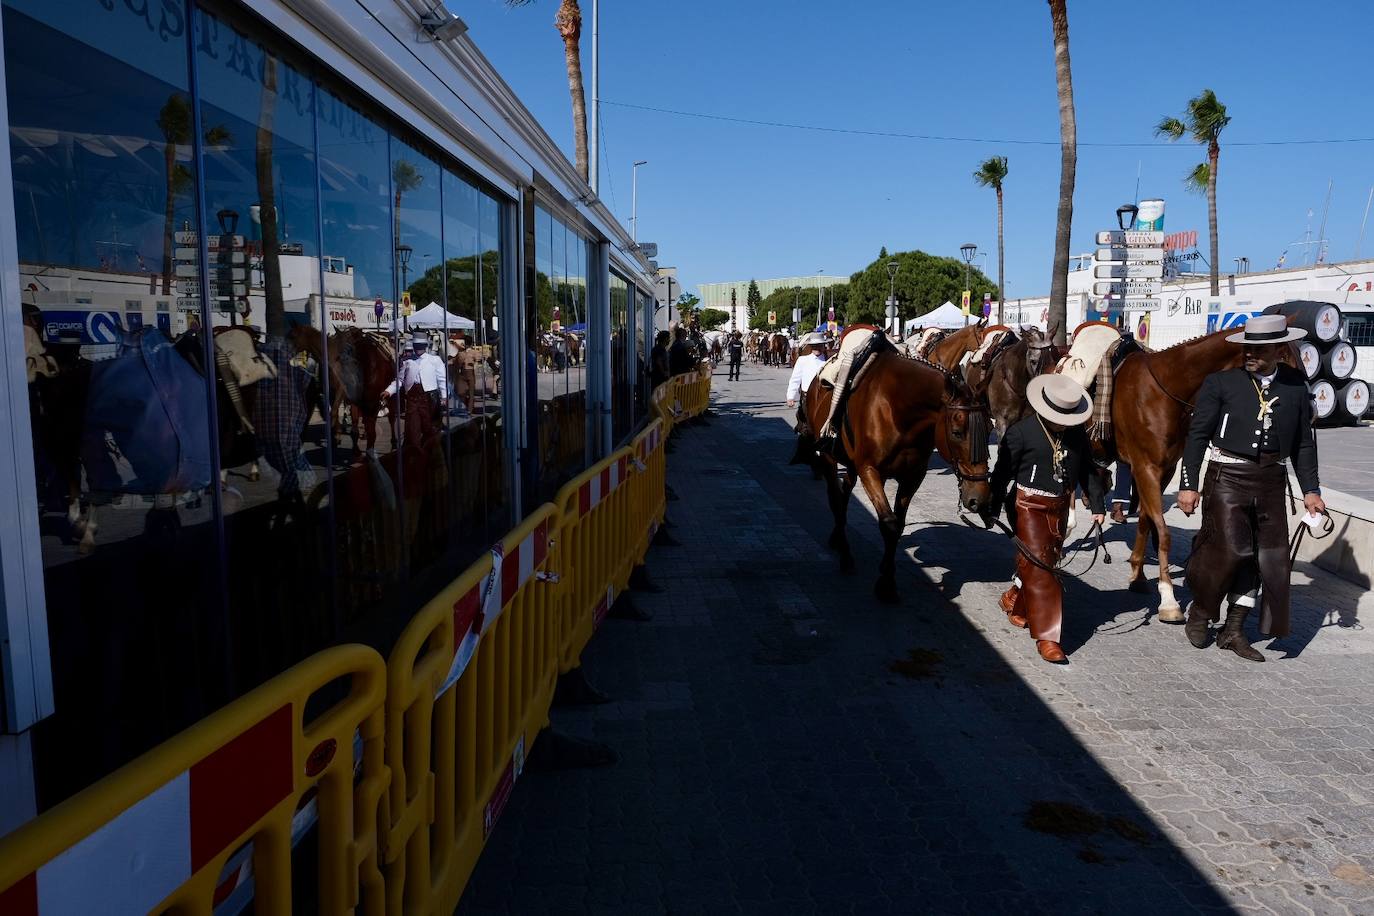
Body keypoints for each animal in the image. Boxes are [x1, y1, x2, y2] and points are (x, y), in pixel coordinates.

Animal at [802, 347, 994, 604]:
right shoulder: (870, 471)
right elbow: (889, 524)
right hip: (829, 457)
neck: (897, 410)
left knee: (844, 495)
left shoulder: (913, 476)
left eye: (990, 429)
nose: (979, 498)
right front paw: (885, 583)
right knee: (835, 498)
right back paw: (845, 553)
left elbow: (899, 523)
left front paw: (887, 573)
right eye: (956, 432)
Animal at [1110, 325, 1291, 620]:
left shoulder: (1164, 470)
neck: (1162, 390)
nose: (1311, 410)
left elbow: (1148, 521)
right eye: (1283, 358)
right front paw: (1168, 599)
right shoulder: (1145, 467)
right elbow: (1163, 532)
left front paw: (1138, 575)